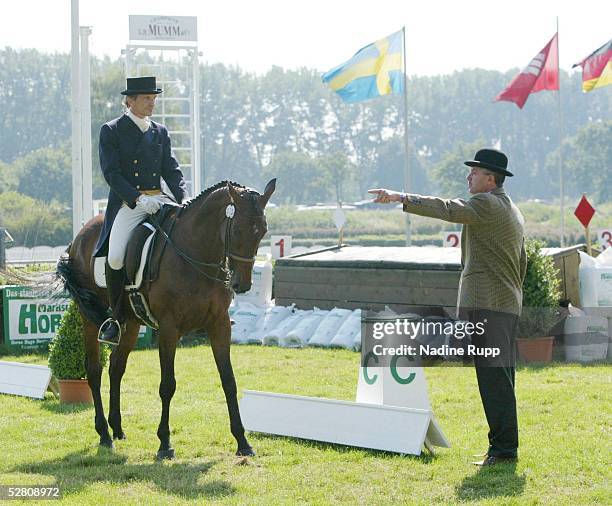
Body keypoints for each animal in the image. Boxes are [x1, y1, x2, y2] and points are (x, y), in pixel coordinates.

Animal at [56, 180, 276, 460]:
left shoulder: (220, 324)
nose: (242, 284)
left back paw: (117, 429)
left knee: (116, 367)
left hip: (131, 321)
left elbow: (229, 381)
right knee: (94, 370)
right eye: (237, 229)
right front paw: (164, 444)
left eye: (263, 231)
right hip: (88, 318)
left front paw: (242, 442)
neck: (195, 253)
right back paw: (104, 434)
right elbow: (167, 385)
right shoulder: (169, 329)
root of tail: (80, 236)